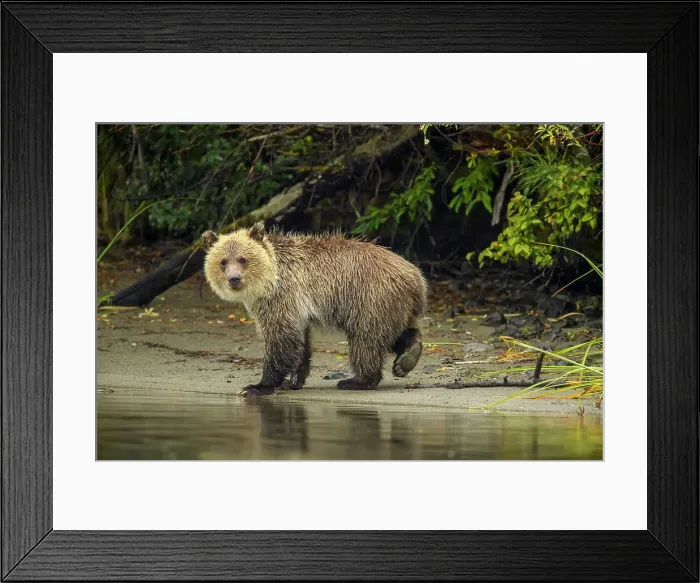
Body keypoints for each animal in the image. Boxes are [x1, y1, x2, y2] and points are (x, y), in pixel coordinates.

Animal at [201, 222, 427, 396]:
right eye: (223, 261)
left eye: (243, 259)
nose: (234, 279)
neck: (270, 278)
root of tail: (416, 278)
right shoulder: (296, 308)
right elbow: (300, 340)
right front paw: (293, 380)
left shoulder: (282, 297)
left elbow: (280, 339)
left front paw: (257, 386)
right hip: (393, 305)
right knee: (395, 332)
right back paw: (406, 358)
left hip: (369, 297)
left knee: (365, 339)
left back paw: (357, 381)